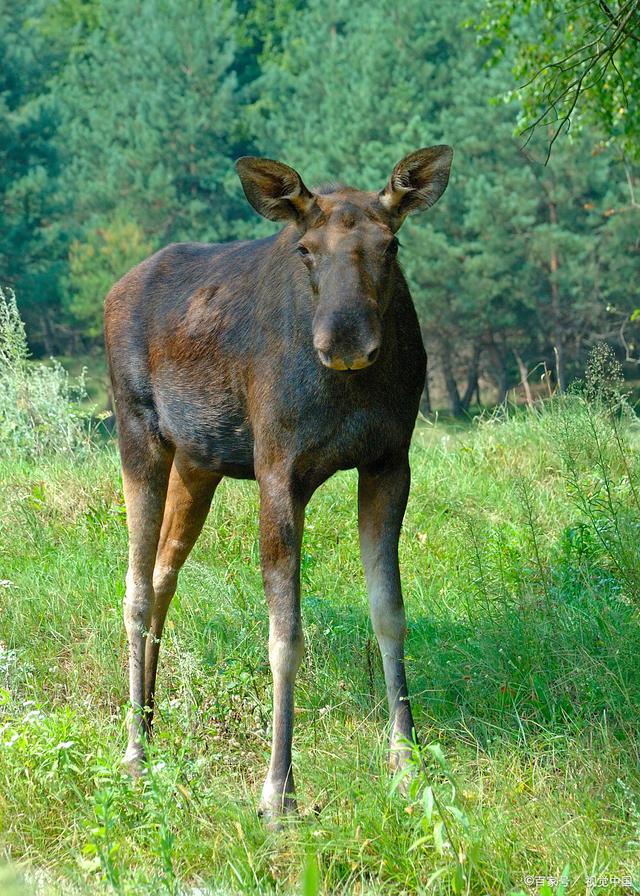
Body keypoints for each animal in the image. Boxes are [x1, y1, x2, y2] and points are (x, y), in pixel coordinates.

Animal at [105, 142, 452, 820]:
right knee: (133, 589)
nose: (345, 339)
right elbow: (285, 635)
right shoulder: (277, 468)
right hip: (139, 435)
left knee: (161, 576)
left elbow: (390, 613)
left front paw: (406, 763)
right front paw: (277, 789)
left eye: (391, 245)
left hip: (199, 462)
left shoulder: (390, 463)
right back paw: (132, 748)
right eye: (305, 248)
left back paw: (152, 727)